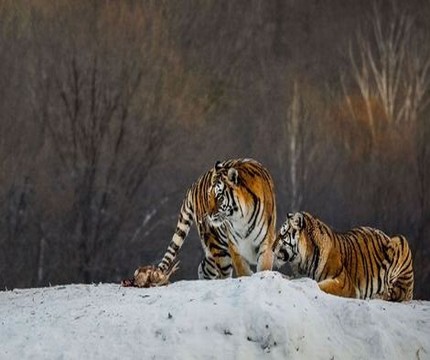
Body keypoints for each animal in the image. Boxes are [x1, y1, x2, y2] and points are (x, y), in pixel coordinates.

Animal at [127, 158, 278, 286]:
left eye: (219, 197)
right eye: (209, 195)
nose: (208, 215)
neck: (240, 220)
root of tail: (195, 183)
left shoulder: (266, 241)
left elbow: (264, 267)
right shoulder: (235, 247)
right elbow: (243, 271)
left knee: (204, 267)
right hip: (218, 246)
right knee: (218, 271)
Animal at [272, 212, 414, 302]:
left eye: (283, 234)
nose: (272, 248)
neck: (301, 263)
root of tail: (386, 235)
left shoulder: (343, 283)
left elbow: (319, 285)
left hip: (400, 240)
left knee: (396, 292)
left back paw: (377, 295)